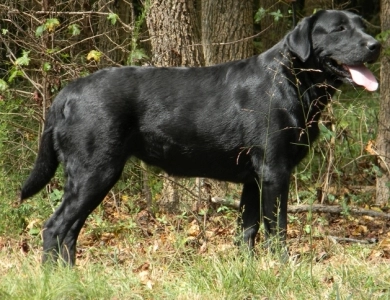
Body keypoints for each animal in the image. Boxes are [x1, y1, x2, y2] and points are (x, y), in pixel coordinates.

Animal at [19, 9, 380, 264]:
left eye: (363, 26)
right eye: (339, 29)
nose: (376, 45)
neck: (290, 81)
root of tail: (67, 93)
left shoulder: (253, 177)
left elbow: (247, 230)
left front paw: (247, 269)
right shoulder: (274, 171)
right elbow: (276, 228)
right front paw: (284, 267)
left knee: (69, 232)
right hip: (95, 171)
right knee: (55, 228)